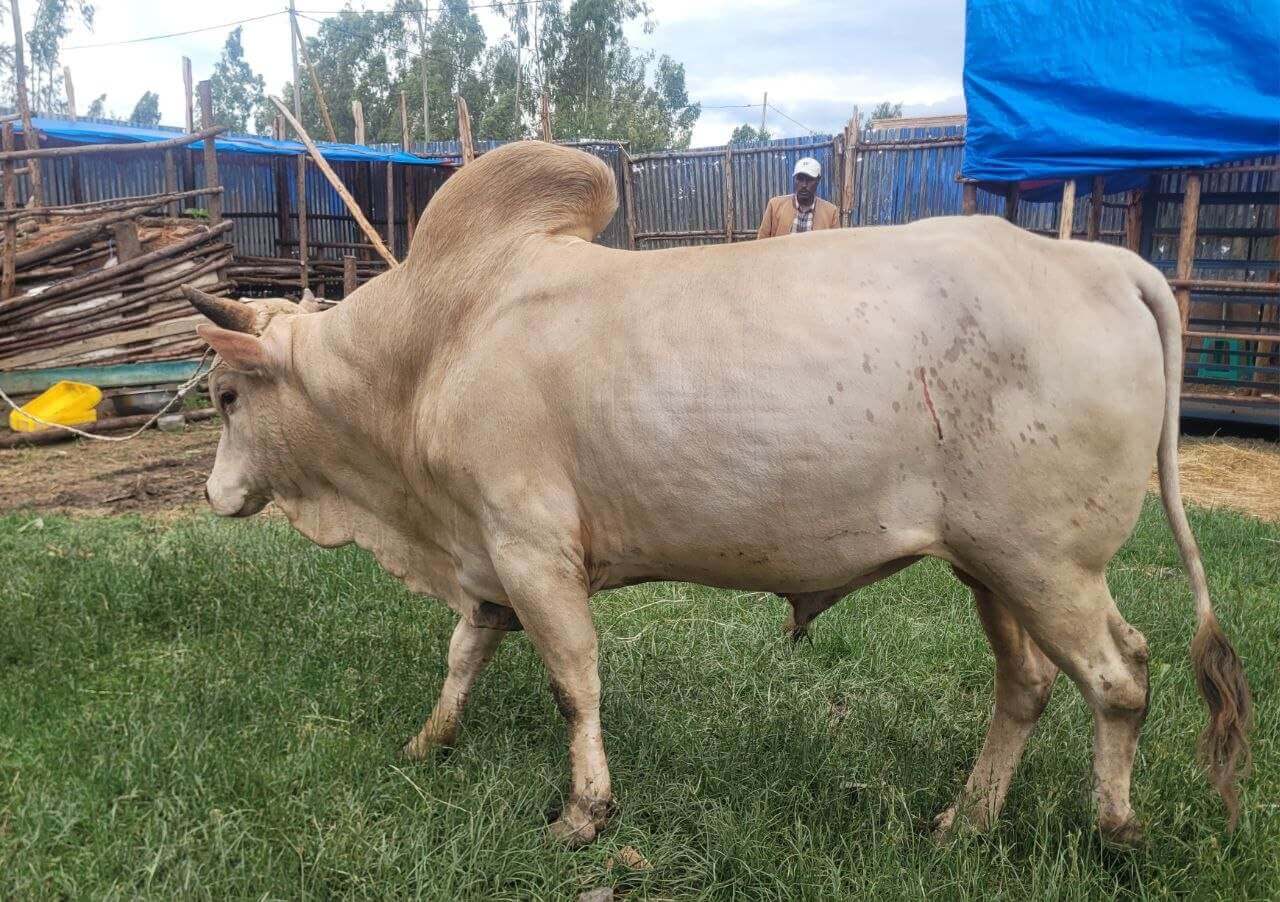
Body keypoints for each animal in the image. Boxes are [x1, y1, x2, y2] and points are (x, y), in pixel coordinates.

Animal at [181, 140, 1249, 848]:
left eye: (227, 395)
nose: (213, 495)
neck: (434, 344)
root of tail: (1101, 261)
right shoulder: (487, 556)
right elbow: (462, 656)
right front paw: (428, 742)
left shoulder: (530, 548)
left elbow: (574, 682)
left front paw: (583, 812)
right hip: (990, 567)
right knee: (1026, 685)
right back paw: (966, 820)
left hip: (1049, 565)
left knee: (1121, 678)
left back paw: (1114, 829)